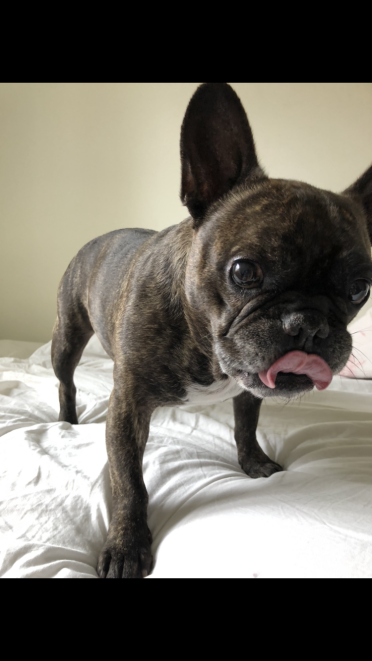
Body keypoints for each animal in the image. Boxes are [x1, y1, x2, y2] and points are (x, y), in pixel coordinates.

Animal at [51, 84, 372, 576]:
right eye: (244, 272)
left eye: (359, 289)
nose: (309, 324)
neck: (204, 345)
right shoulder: (126, 407)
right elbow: (129, 480)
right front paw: (126, 545)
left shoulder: (249, 391)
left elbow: (245, 427)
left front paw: (255, 463)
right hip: (66, 338)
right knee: (66, 381)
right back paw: (67, 420)